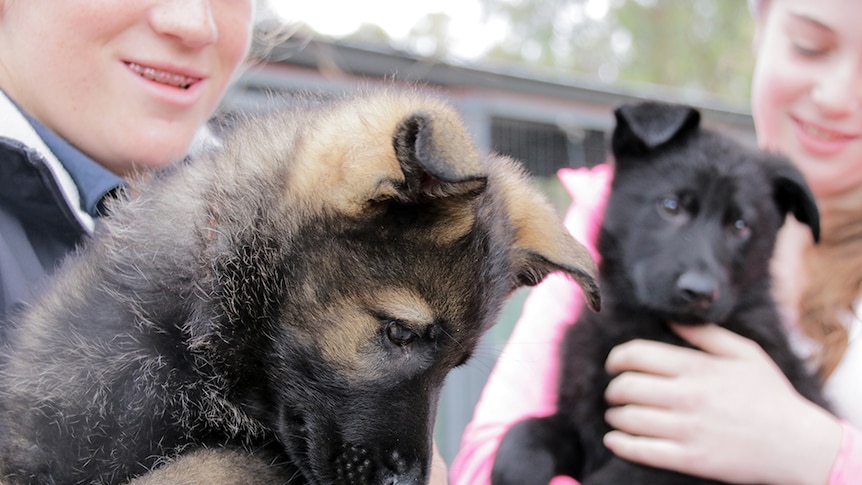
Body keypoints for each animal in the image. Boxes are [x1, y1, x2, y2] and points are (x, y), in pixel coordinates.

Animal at [492, 102, 832, 484]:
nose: (699, 291)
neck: (642, 323)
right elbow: (527, 432)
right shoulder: (579, 418)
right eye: (671, 206)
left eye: (740, 226)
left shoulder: (672, 457)